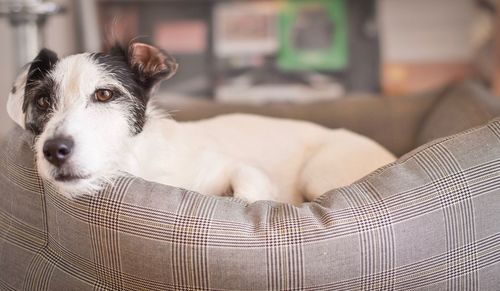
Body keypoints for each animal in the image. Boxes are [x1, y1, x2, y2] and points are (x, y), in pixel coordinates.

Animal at [4, 42, 394, 204]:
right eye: (42, 101)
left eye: (103, 94)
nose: (54, 150)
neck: (141, 165)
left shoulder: (234, 168)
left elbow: (248, 191)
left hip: (319, 174)